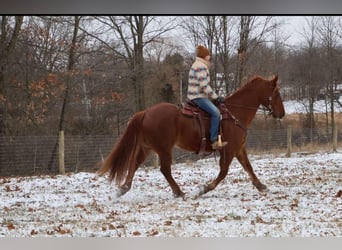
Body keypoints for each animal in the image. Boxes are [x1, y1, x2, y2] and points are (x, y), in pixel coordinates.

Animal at [99, 75, 286, 198]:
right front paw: (203, 189)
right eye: (277, 94)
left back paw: (123, 189)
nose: (282, 114)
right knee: (164, 169)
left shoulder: (239, 149)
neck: (234, 112)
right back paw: (179, 192)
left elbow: (248, 167)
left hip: (147, 147)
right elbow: (223, 172)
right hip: (164, 149)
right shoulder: (229, 150)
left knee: (135, 164)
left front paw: (261, 186)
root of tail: (146, 112)